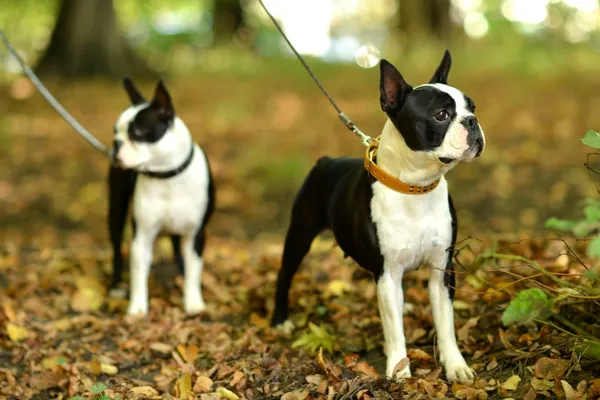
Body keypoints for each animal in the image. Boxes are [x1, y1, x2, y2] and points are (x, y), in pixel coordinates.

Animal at [108, 79, 216, 316]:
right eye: (115, 132)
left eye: (137, 133)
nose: (116, 144)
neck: (167, 176)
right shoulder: (142, 236)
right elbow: (139, 274)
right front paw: (137, 308)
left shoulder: (196, 234)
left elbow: (194, 269)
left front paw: (193, 303)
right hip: (115, 211)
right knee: (116, 249)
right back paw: (115, 286)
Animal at [270, 51, 482, 382]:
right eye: (441, 115)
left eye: (472, 108)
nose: (472, 121)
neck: (416, 189)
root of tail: (325, 160)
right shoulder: (387, 271)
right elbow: (394, 329)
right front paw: (399, 369)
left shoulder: (441, 269)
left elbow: (446, 324)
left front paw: (456, 365)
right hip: (300, 234)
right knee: (285, 274)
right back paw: (280, 320)